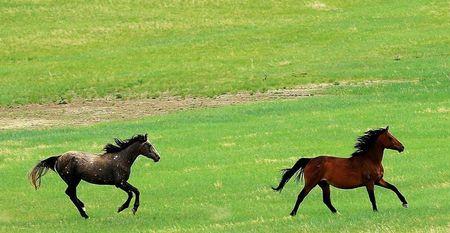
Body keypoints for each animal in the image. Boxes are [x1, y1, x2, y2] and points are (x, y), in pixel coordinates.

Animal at [28, 133, 160, 218]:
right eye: (149, 145)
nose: (158, 157)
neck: (121, 159)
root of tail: (59, 157)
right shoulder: (120, 183)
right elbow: (133, 192)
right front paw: (125, 208)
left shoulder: (122, 183)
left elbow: (135, 191)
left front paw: (130, 208)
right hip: (72, 180)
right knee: (70, 193)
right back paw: (85, 214)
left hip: (75, 180)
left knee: (71, 194)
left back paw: (83, 208)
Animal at [272, 126, 410, 216]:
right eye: (390, 138)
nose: (402, 147)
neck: (370, 160)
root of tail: (310, 160)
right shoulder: (370, 182)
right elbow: (372, 197)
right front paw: (376, 211)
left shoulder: (378, 180)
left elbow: (393, 187)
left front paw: (405, 203)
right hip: (311, 183)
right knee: (301, 196)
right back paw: (293, 213)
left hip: (324, 184)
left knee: (326, 200)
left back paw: (337, 212)